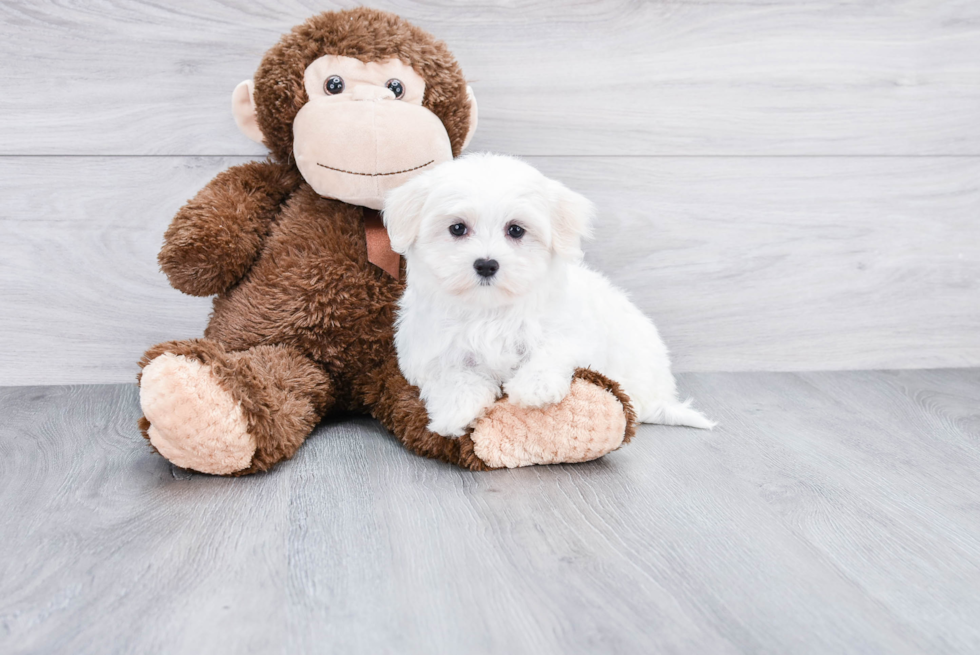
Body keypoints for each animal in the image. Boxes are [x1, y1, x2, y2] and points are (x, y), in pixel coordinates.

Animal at [382, 154, 712, 438]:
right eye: (457, 228)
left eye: (516, 230)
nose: (486, 264)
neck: (490, 311)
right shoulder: (429, 350)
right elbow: (452, 375)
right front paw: (456, 410)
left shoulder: (573, 330)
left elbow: (552, 349)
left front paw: (535, 387)